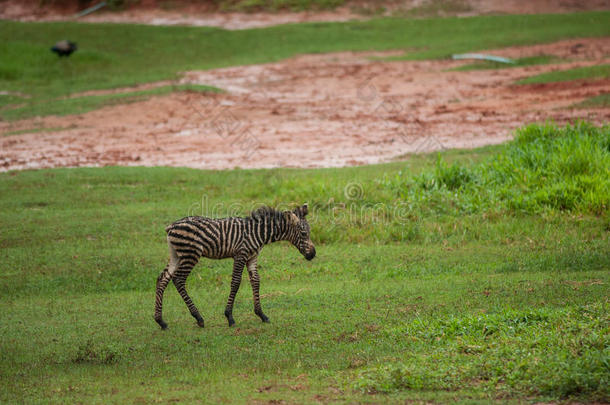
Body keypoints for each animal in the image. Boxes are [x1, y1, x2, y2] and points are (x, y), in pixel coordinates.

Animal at [153, 202, 314, 328]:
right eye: (304, 234)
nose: (313, 254)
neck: (258, 232)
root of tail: (171, 226)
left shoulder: (252, 257)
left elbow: (256, 281)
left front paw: (261, 314)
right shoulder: (240, 255)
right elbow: (236, 282)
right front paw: (229, 317)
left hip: (176, 255)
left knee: (163, 278)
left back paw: (161, 321)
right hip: (190, 255)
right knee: (179, 279)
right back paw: (198, 318)